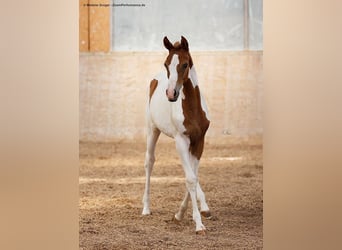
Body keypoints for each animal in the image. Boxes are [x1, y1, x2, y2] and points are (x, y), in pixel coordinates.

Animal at [142, 35, 211, 234]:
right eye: (166, 64)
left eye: (185, 64)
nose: (171, 93)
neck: (192, 109)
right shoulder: (181, 141)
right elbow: (190, 179)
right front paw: (198, 225)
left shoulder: (199, 141)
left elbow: (194, 176)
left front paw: (181, 214)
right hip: (152, 130)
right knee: (149, 162)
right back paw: (146, 208)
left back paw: (204, 206)